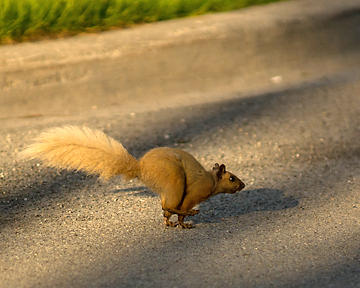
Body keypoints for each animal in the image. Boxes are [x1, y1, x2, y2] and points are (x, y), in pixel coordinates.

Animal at [21, 125, 245, 227]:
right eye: (231, 178)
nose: (243, 185)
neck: (212, 181)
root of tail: (141, 168)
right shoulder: (194, 193)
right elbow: (182, 209)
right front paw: (186, 221)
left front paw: (180, 223)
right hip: (174, 179)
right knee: (168, 205)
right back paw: (188, 215)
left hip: (167, 186)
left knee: (164, 208)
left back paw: (169, 222)